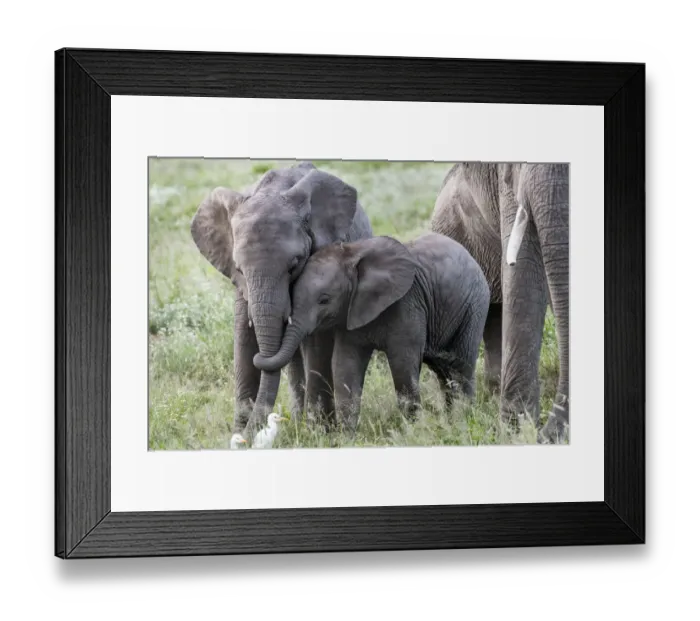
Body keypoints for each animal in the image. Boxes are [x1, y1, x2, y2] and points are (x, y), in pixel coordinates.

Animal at [190, 161, 372, 441]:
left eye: (295, 264)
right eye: (239, 269)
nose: (248, 439)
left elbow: (316, 343)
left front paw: (318, 434)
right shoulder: (241, 287)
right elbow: (243, 338)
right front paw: (238, 435)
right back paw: (297, 422)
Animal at [253, 233, 490, 431]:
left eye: (324, 300)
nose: (258, 356)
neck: (353, 255)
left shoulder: (407, 304)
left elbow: (403, 366)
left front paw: (414, 432)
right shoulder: (351, 313)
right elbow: (345, 365)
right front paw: (347, 439)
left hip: (475, 305)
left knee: (461, 366)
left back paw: (464, 420)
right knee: (445, 373)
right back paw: (452, 421)